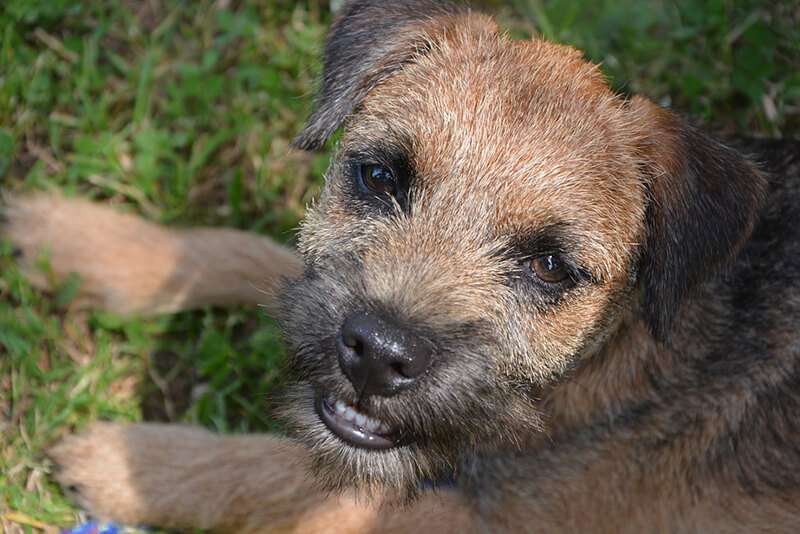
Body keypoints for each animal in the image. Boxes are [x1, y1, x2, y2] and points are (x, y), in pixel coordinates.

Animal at [1, 0, 800, 532]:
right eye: (381, 176)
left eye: (550, 266)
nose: (379, 355)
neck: (618, 360)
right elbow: (255, 251)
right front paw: (86, 241)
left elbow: (292, 477)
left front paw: (130, 460)